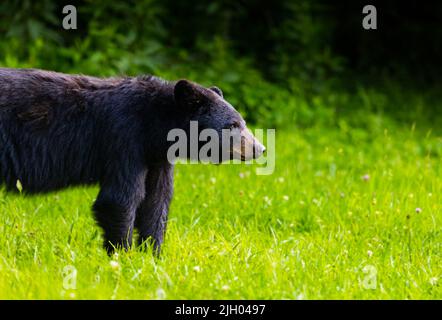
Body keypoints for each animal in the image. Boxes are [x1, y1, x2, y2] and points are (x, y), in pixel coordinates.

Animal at [0, 68, 264, 255]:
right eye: (233, 125)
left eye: (242, 122)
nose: (260, 148)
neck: (155, 125)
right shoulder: (125, 138)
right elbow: (120, 198)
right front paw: (122, 257)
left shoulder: (157, 157)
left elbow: (157, 200)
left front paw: (153, 255)